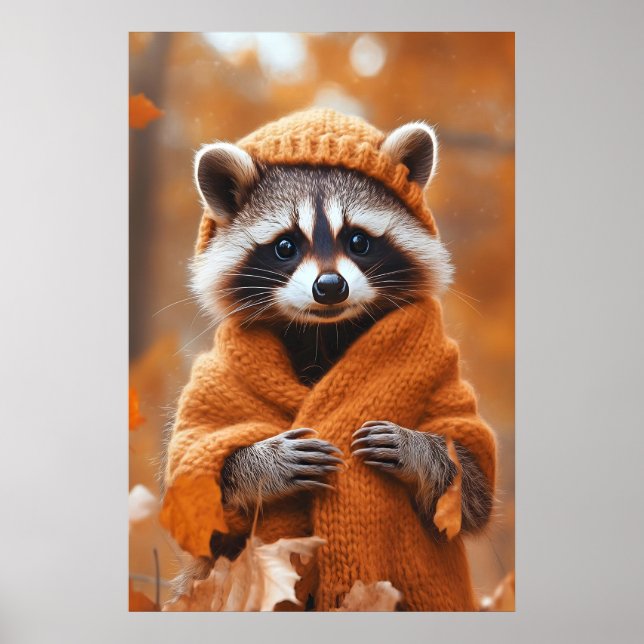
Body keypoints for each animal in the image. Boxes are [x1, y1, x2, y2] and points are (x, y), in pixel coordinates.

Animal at [188, 121, 493, 543]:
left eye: (358, 240)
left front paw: (416, 447)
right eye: (286, 246)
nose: (330, 287)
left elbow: (469, 490)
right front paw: (266, 460)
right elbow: (197, 494)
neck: (324, 331)